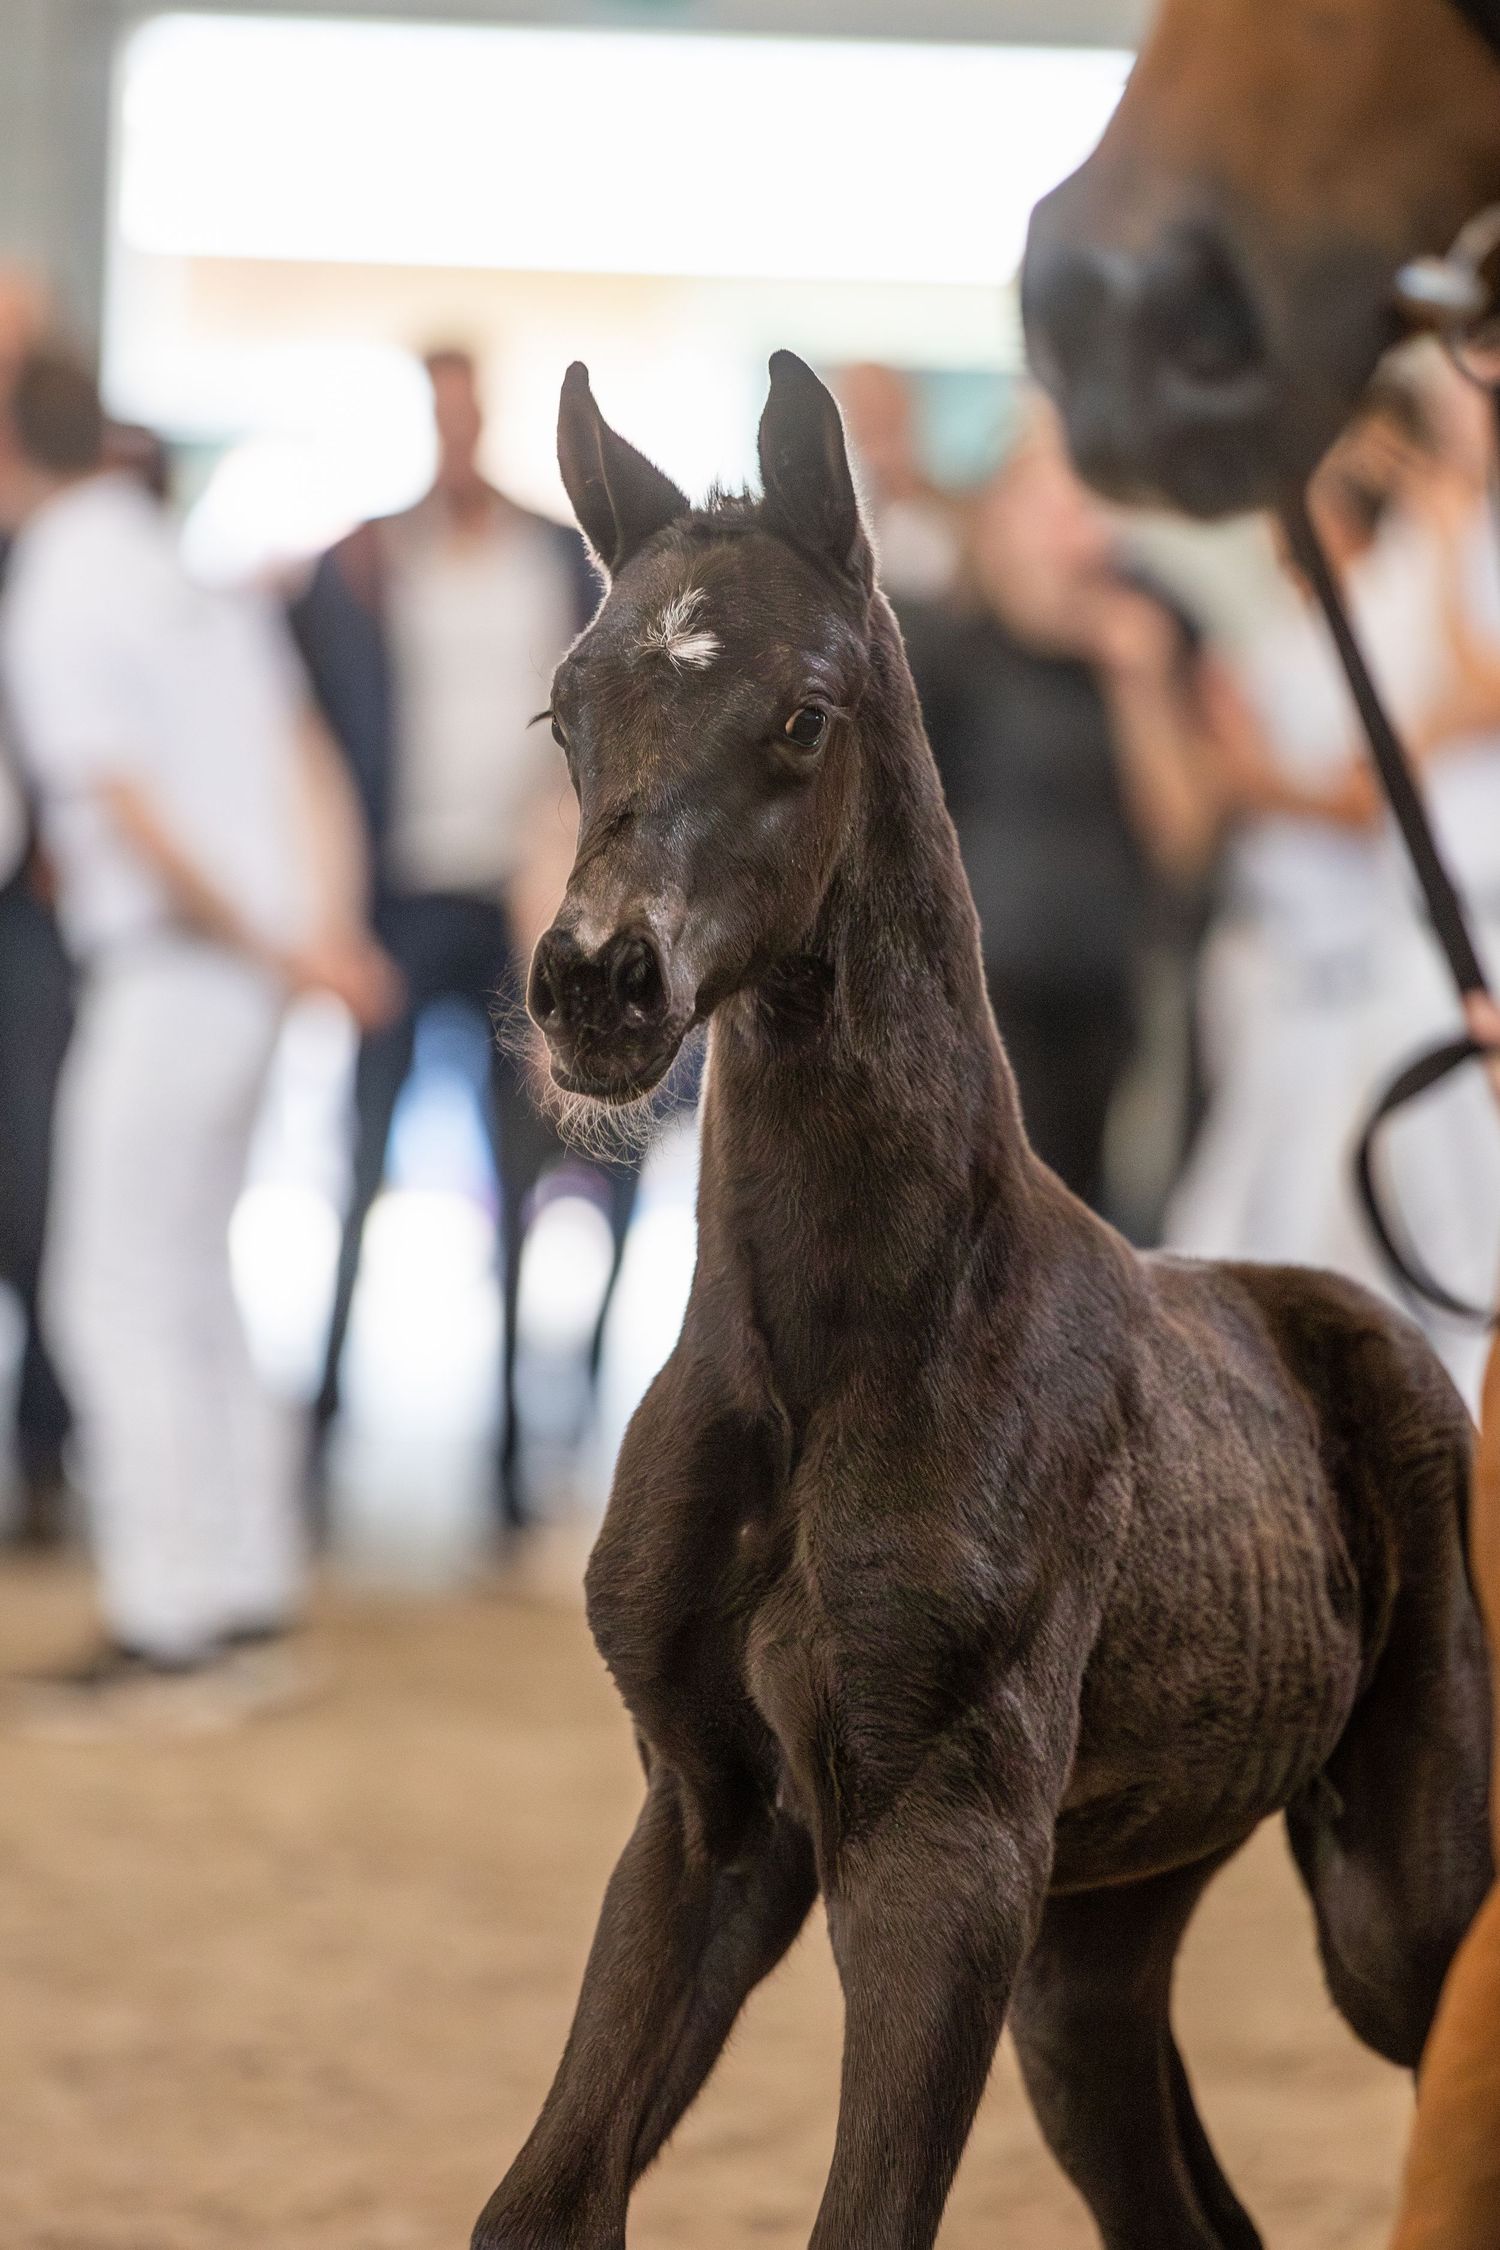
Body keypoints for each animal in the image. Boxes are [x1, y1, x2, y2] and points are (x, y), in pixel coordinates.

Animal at [471, 352, 1492, 2250]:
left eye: (804, 715)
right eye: (565, 708)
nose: (596, 986)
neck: (847, 1349)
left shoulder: (946, 1846)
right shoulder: (711, 1810)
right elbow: (546, 2200)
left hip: (1392, 1894)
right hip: (1099, 1936)